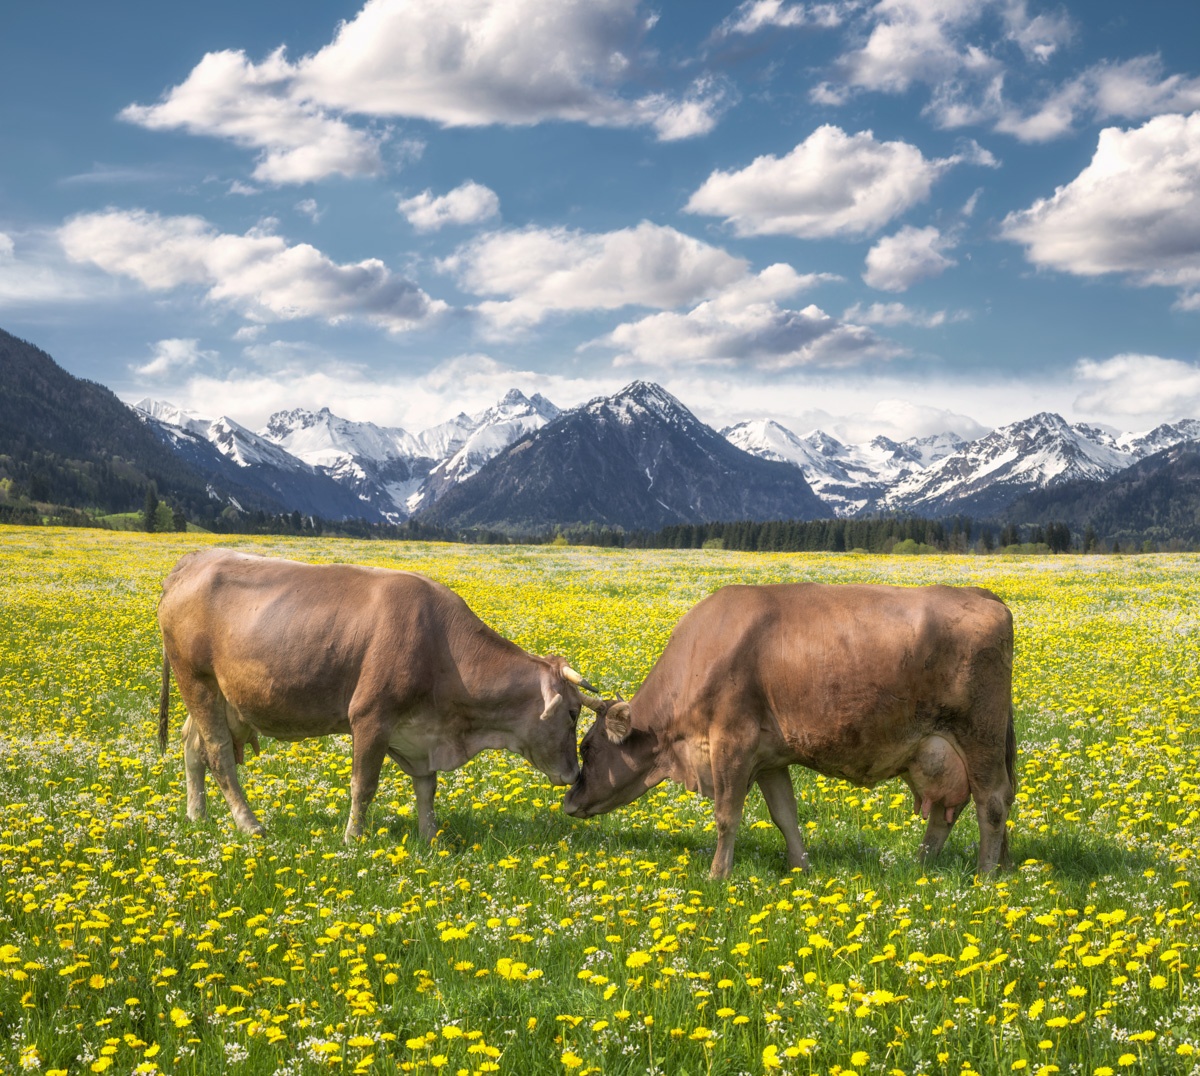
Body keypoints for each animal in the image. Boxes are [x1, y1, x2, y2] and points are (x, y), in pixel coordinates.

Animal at [157, 548, 598, 842]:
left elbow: (427, 787)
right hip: (196, 680)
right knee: (217, 753)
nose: (575, 775)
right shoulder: (371, 717)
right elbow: (363, 784)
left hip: (225, 696)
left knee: (192, 745)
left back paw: (197, 816)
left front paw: (430, 838)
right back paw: (249, 825)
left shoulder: (421, 732)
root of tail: (193, 560)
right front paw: (353, 839)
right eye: (573, 713)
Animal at [564, 583, 1015, 879]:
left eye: (586, 747)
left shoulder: (731, 744)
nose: (568, 801)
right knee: (950, 810)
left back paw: (985, 876)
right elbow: (785, 815)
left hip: (980, 738)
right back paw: (925, 867)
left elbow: (726, 815)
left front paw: (717, 875)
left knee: (991, 802)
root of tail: (983, 594)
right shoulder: (768, 759)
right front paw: (801, 869)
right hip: (944, 750)